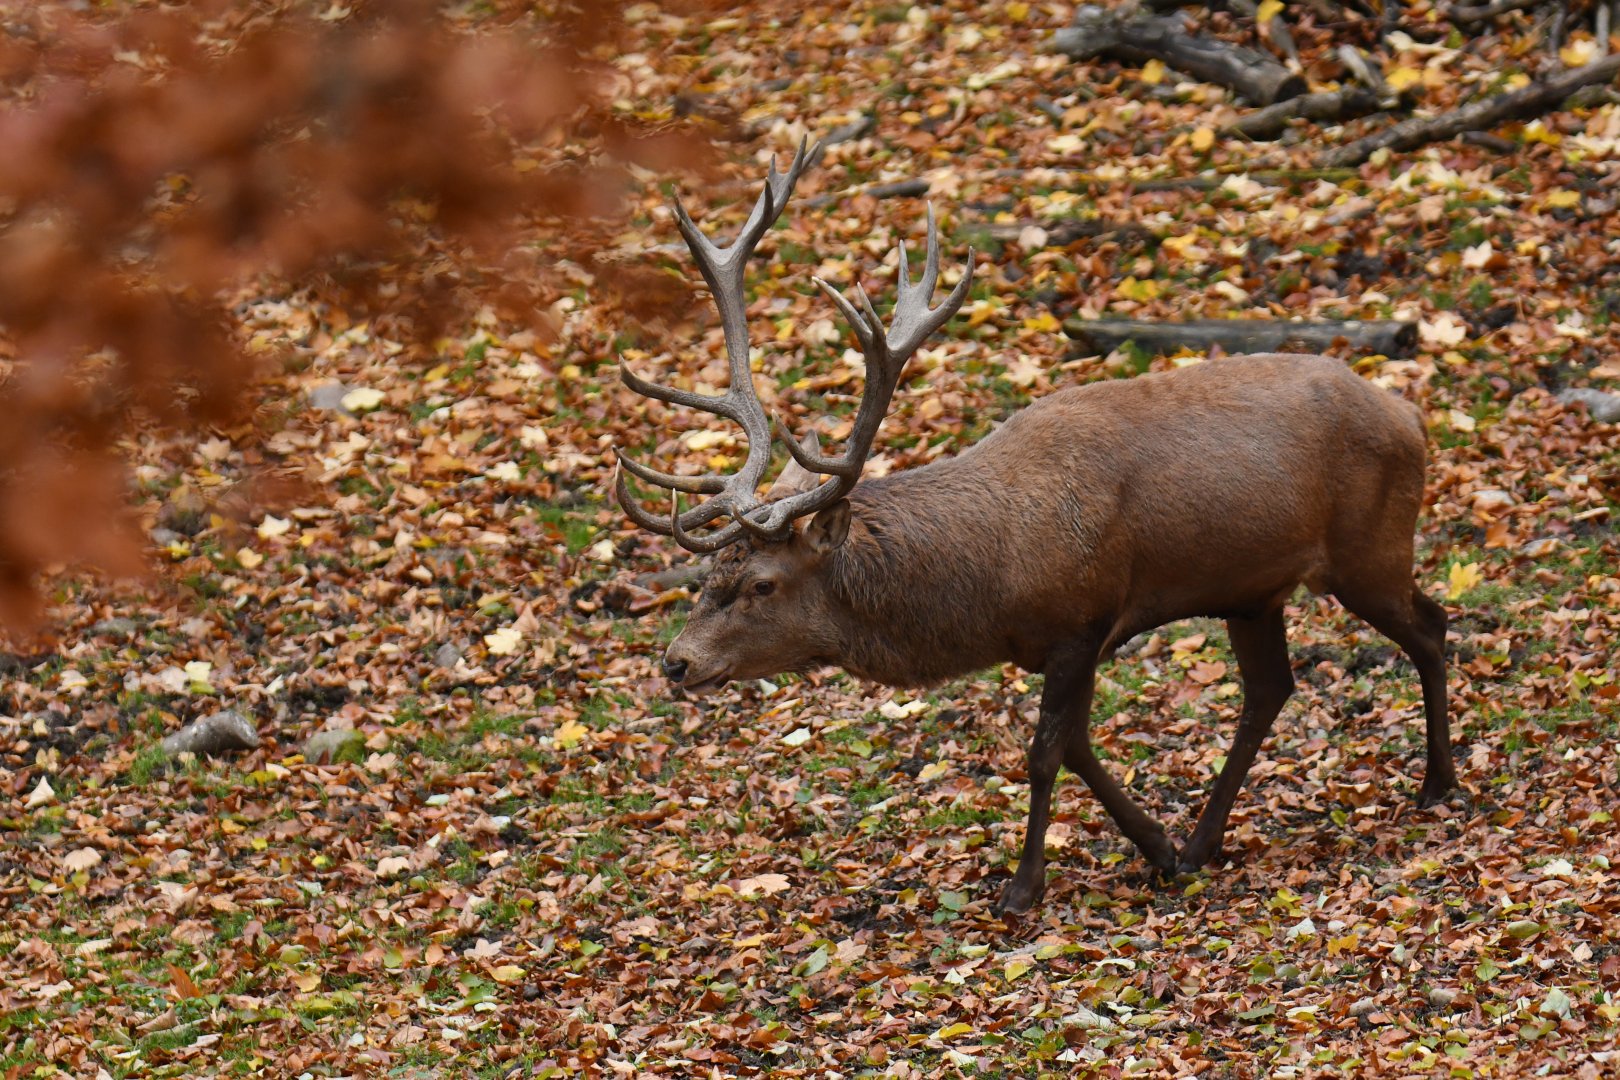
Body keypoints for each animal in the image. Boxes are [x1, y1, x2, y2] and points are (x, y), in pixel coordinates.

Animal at [613, 141, 1458, 914]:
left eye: (762, 583)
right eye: (708, 576)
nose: (678, 663)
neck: (990, 584)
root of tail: (1410, 414)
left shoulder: (1081, 620)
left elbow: (1047, 752)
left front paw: (1023, 888)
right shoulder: (1064, 640)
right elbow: (1079, 746)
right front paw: (1157, 849)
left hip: (1370, 548)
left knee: (1431, 625)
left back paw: (1439, 784)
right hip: (1255, 592)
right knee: (1272, 688)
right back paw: (1203, 842)